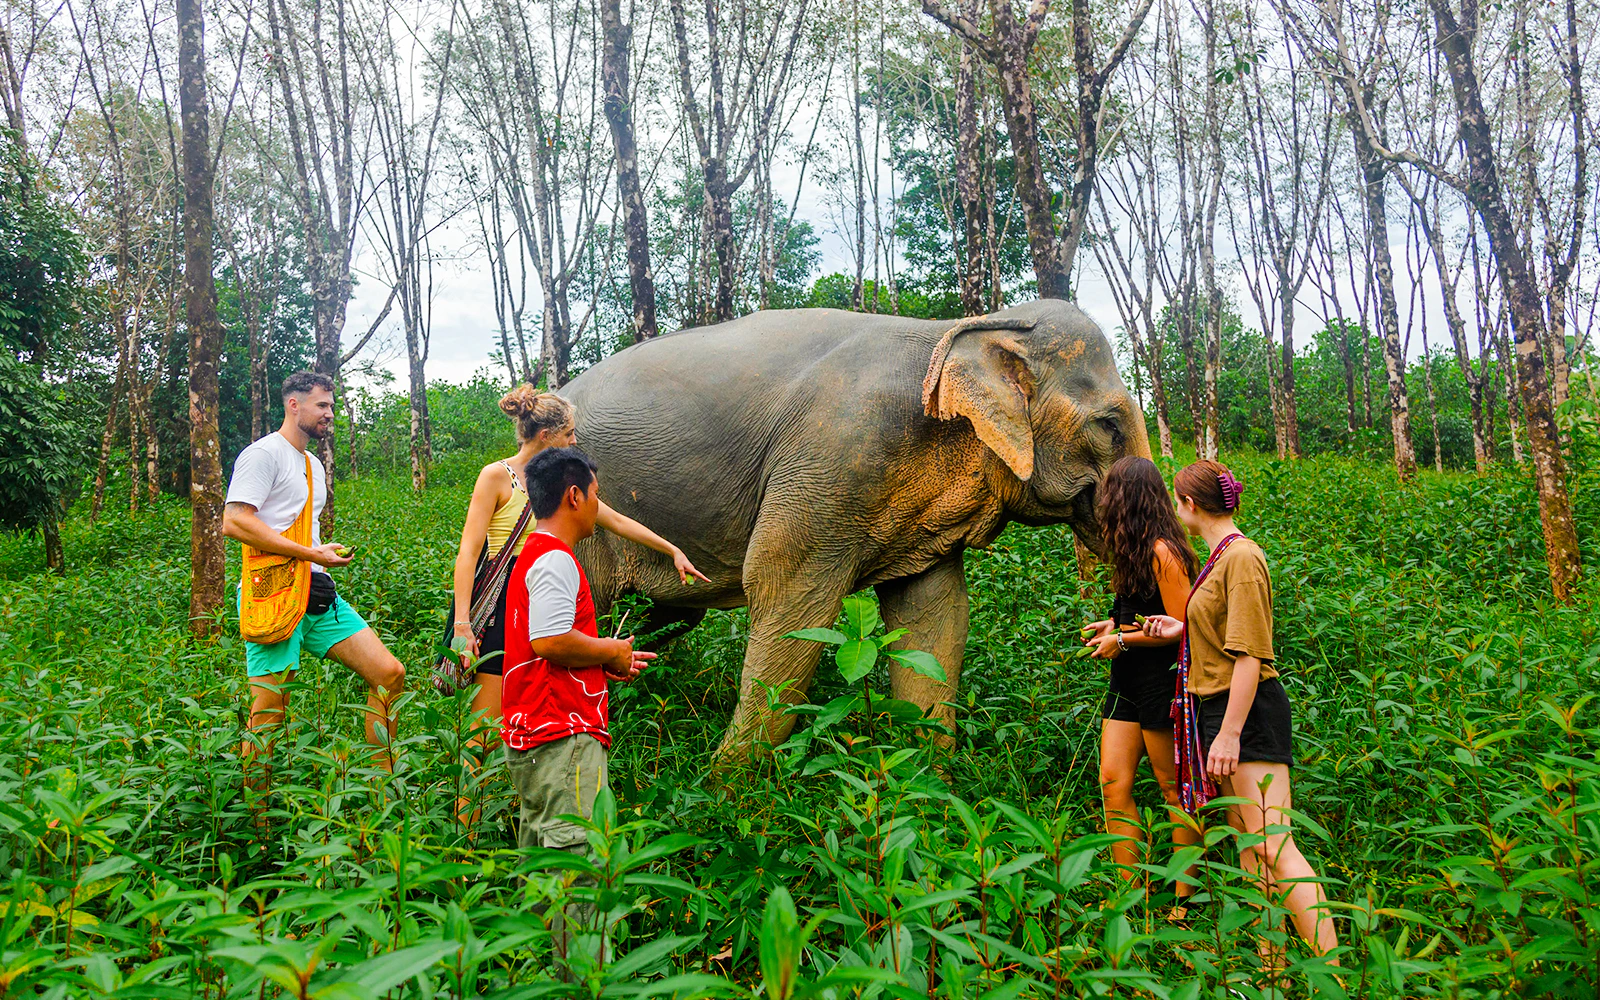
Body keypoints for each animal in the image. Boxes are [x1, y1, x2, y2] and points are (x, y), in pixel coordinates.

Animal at [560, 299, 1150, 762]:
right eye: (1109, 426)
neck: (964, 327)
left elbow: (934, 617)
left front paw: (929, 785)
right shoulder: (831, 458)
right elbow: (787, 593)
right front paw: (729, 794)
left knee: (667, 616)